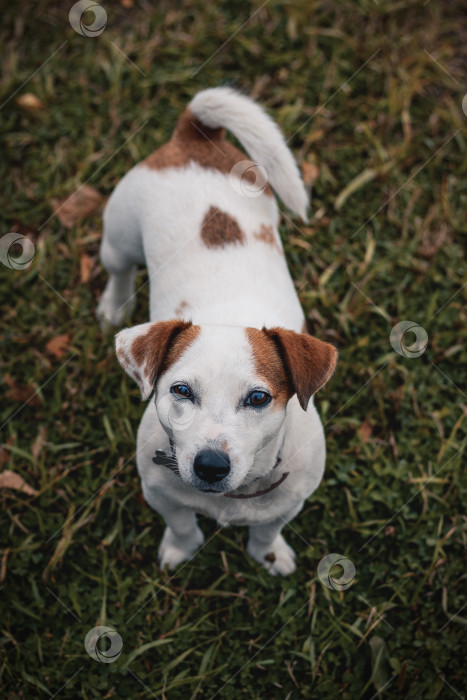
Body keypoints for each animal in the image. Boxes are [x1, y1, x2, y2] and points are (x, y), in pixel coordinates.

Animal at [98, 87, 336, 576]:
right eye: (181, 391)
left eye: (259, 398)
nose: (210, 465)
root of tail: (195, 136)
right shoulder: (159, 492)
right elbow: (183, 523)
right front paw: (180, 550)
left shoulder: (290, 502)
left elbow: (266, 529)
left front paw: (268, 554)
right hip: (120, 237)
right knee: (119, 269)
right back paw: (114, 304)